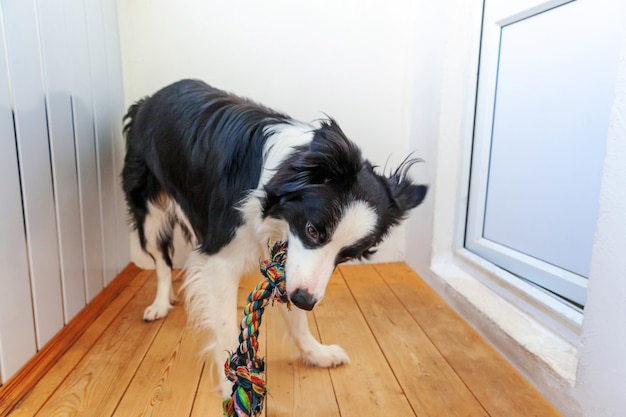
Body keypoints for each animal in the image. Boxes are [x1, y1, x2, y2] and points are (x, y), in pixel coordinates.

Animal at [120, 79, 426, 396]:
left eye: (347, 256)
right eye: (313, 230)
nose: (306, 300)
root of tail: (149, 99)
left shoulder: (290, 263)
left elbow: (296, 313)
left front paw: (316, 353)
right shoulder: (221, 257)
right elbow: (225, 324)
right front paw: (233, 386)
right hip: (149, 211)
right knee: (161, 260)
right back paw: (159, 304)